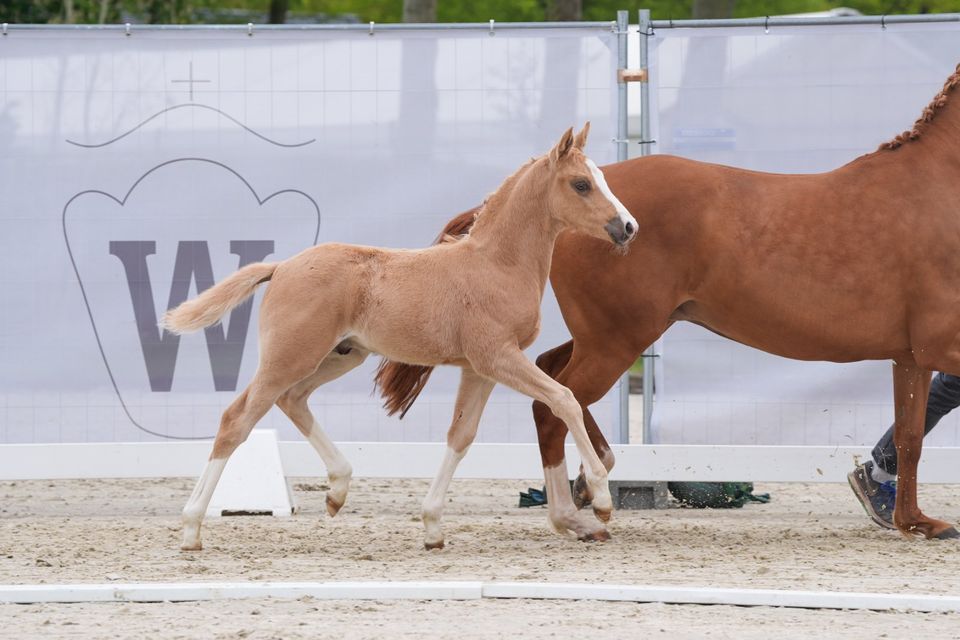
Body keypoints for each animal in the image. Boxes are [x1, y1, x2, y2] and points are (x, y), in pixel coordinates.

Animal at [161, 125, 636, 552]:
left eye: (602, 177)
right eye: (581, 183)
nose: (629, 227)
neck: (496, 264)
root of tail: (281, 267)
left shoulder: (479, 369)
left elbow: (461, 436)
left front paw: (432, 528)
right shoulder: (497, 357)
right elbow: (564, 399)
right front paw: (601, 497)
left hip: (340, 356)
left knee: (292, 400)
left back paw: (337, 491)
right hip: (290, 357)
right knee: (236, 419)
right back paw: (191, 528)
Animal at [376, 63, 960, 540]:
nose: (623, 227)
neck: (935, 188)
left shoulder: (908, 355)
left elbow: (910, 434)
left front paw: (914, 521)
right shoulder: (938, 345)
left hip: (605, 337)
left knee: (553, 378)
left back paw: (589, 483)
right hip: (618, 339)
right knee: (555, 400)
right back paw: (586, 499)